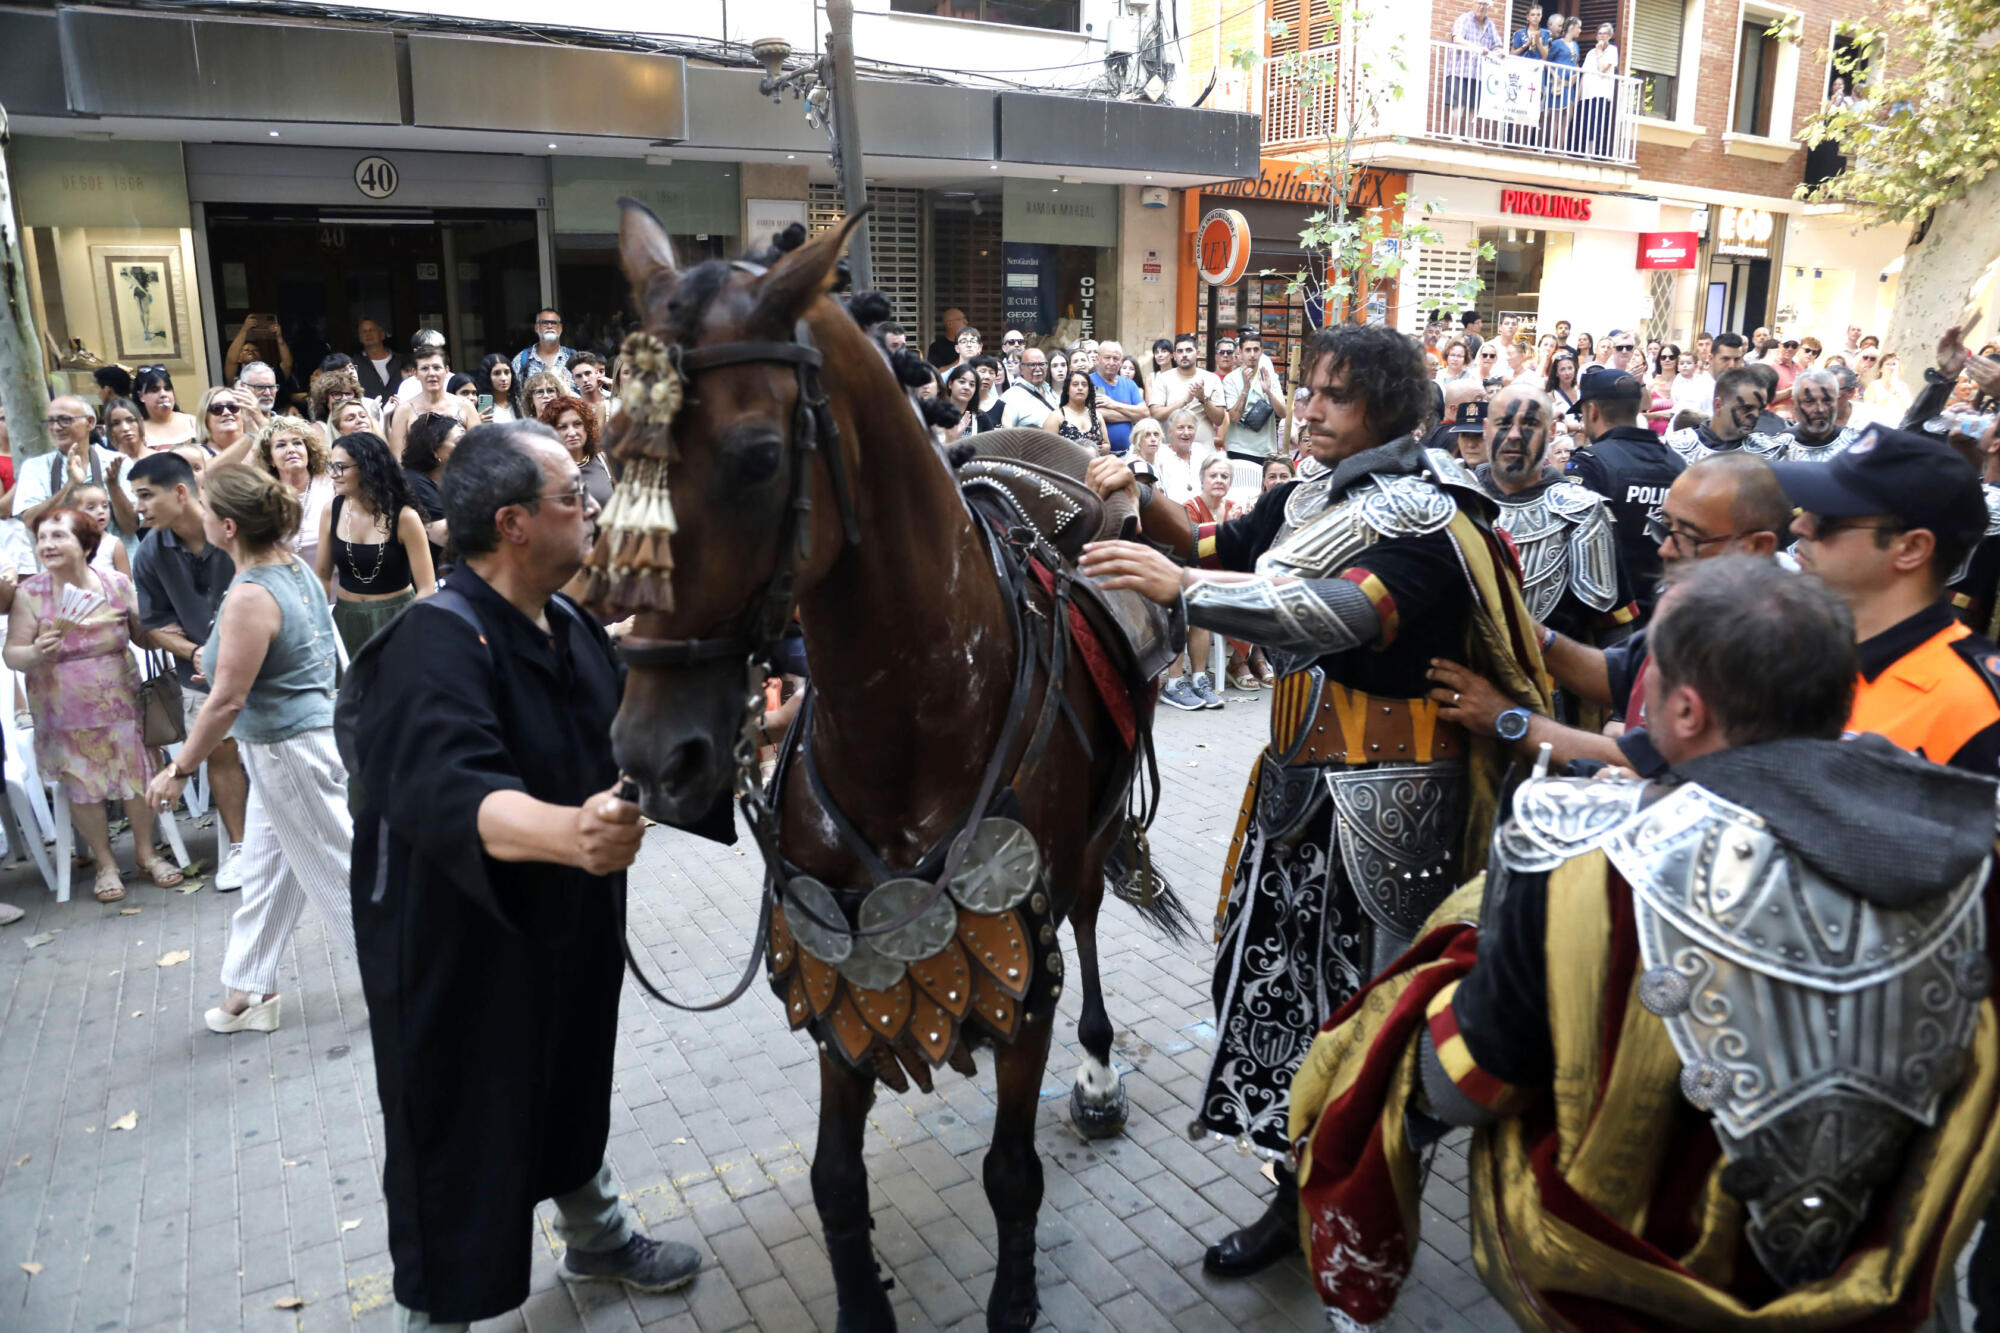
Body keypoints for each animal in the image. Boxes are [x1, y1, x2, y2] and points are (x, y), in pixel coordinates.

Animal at [598, 201, 1190, 1331]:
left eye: (755, 458)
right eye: (610, 447)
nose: (656, 755)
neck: (910, 718)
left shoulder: (1023, 952)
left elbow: (1011, 1172)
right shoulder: (842, 971)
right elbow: (836, 1177)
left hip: (1088, 848)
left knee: (1091, 917)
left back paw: (1098, 1075)